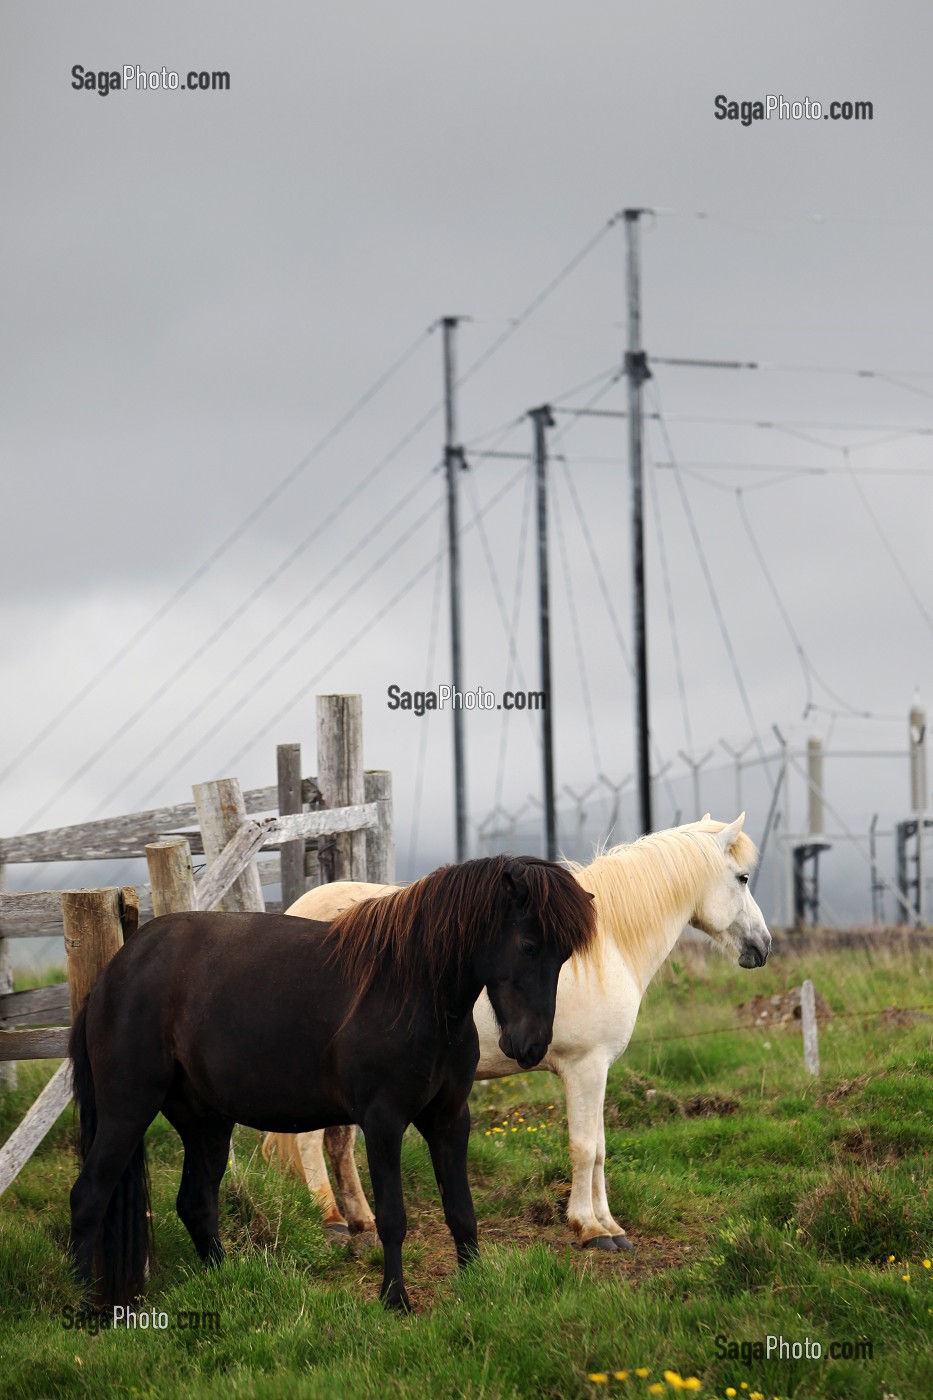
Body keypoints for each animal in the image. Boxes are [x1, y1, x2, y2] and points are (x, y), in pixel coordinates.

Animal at [68, 854, 596, 1313]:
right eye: (528, 946)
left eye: (564, 956)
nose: (530, 1045)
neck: (409, 988)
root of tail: (115, 973)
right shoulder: (384, 1122)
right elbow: (392, 1218)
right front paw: (395, 1299)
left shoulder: (449, 1119)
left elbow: (462, 1211)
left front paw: (475, 1286)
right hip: (127, 1110)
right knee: (89, 1195)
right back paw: (80, 1305)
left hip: (206, 1124)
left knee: (196, 1204)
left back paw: (226, 1280)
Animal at [263, 815, 771, 1251]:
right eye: (743, 878)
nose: (763, 946)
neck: (607, 944)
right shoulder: (584, 1068)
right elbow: (584, 1147)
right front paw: (590, 1229)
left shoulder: (599, 1070)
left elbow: (601, 1148)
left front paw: (611, 1226)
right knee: (310, 1141)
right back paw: (331, 1220)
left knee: (339, 1143)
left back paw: (361, 1222)